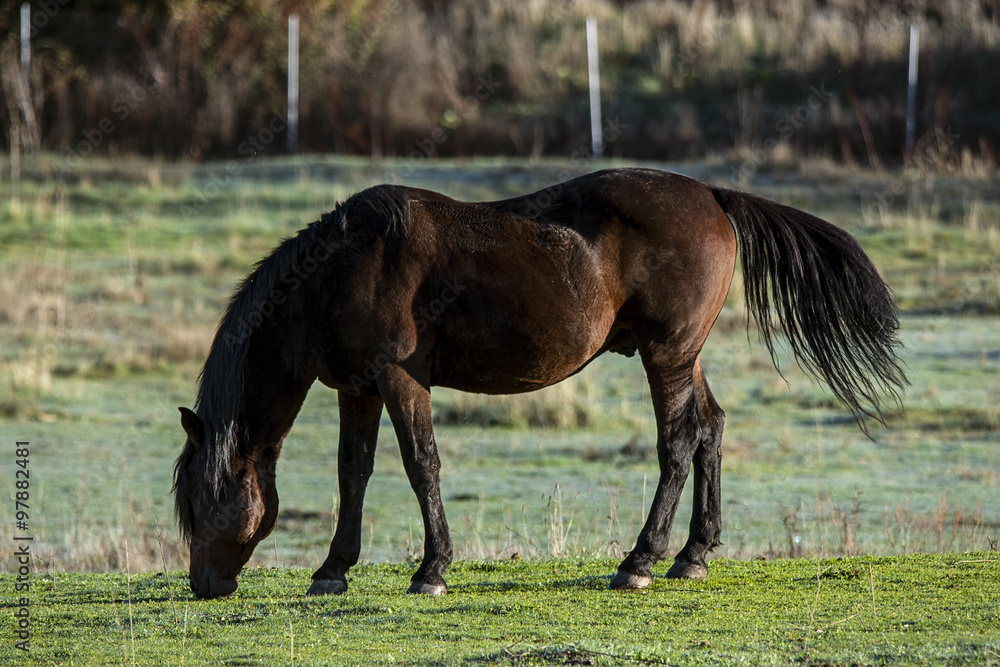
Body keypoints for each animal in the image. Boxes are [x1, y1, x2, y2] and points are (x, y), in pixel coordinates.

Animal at [173, 167, 904, 599]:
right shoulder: (358, 387)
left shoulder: (400, 379)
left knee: (677, 443)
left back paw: (640, 561)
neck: (341, 268)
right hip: (683, 354)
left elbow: (420, 464)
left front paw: (432, 570)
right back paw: (693, 553)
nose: (203, 583)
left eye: (202, 501)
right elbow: (353, 472)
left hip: (665, 356)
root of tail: (713, 198)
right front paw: (332, 570)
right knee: (711, 431)